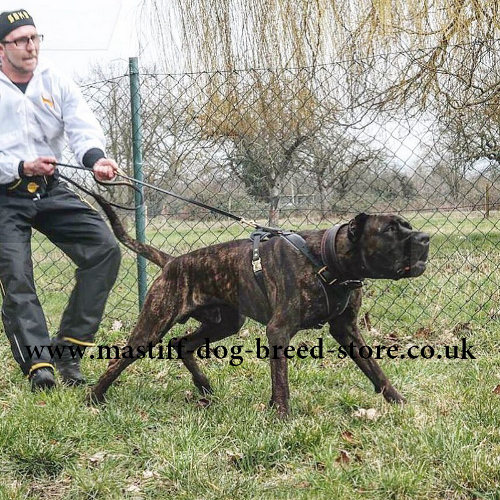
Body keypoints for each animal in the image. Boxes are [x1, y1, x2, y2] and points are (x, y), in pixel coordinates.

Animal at [88, 197, 428, 416]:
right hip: (153, 326)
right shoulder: (279, 330)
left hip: (224, 323)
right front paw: (281, 416)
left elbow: (376, 370)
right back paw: (94, 397)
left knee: (182, 344)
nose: (424, 238)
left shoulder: (347, 330)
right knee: (119, 359)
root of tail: (173, 261)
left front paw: (398, 402)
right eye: (388, 230)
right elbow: (282, 381)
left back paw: (204, 387)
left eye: (407, 225)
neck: (327, 258)